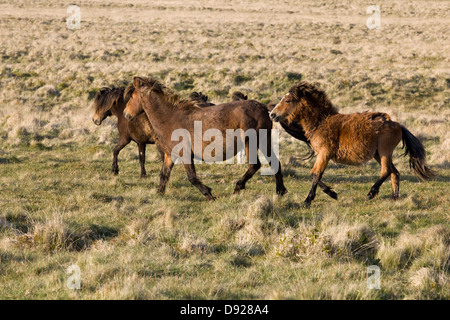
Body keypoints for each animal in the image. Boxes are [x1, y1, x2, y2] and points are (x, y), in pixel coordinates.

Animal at [121, 76, 286, 200]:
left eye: (132, 96)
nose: (125, 114)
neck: (169, 118)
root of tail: (263, 108)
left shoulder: (185, 154)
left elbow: (192, 177)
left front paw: (209, 194)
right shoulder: (169, 155)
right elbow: (164, 175)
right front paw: (159, 194)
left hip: (250, 143)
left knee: (254, 165)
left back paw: (238, 187)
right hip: (264, 142)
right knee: (274, 162)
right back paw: (280, 191)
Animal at [268, 81, 434, 206]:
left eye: (287, 100)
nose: (272, 114)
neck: (321, 122)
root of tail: (397, 124)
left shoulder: (324, 154)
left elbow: (315, 174)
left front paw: (308, 201)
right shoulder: (322, 155)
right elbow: (315, 175)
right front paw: (333, 193)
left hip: (384, 152)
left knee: (386, 171)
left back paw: (371, 193)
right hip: (378, 154)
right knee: (394, 172)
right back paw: (394, 198)